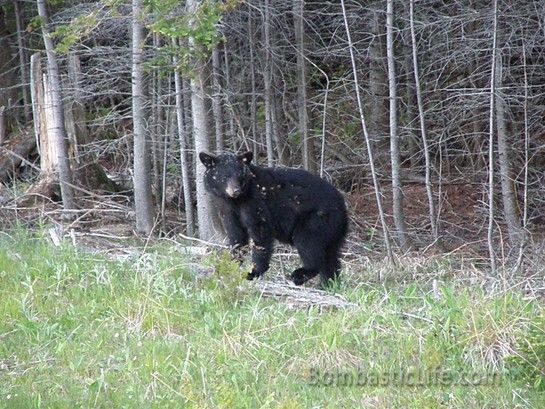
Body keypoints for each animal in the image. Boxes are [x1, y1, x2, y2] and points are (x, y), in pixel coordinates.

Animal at [198, 151, 346, 286]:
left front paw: (253, 271)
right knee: (331, 256)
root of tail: (342, 204)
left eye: (240, 176)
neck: (235, 201)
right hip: (332, 229)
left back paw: (300, 274)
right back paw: (330, 283)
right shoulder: (226, 208)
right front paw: (231, 263)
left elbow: (260, 231)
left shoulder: (254, 201)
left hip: (315, 219)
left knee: (308, 243)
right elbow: (236, 235)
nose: (236, 191)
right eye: (224, 176)